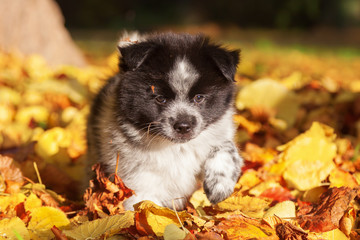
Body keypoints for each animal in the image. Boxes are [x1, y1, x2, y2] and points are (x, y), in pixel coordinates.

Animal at [86, 32, 243, 210]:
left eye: (199, 98)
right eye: (161, 98)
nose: (183, 126)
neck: (177, 148)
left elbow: (226, 146)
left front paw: (220, 185)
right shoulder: (138, 183)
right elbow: (147, 208)